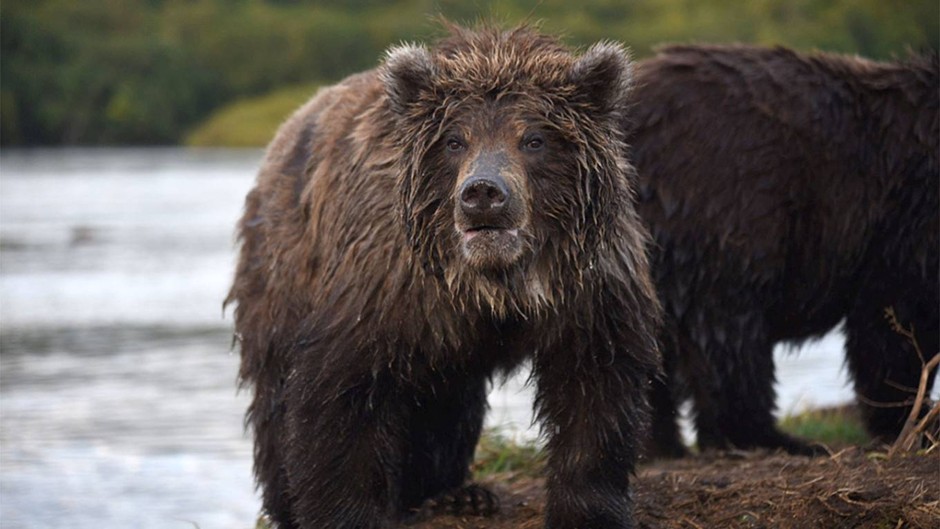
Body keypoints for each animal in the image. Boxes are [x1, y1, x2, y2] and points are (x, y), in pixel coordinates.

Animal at [226, 24, 660, 528]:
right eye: (455, 141)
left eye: (533, 139)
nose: (483, 193)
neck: (493, 283)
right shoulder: (385, 282)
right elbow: (340, 397)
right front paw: (346, 512)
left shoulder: (589, 286)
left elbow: (596, 392)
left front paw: (588, 510)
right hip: (284, 271)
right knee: (276, 391)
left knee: (447, 399)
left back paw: (455, 492)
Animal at [624, 44, 940, 458]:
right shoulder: (905, 217)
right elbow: (894, 321)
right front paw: (909, 420)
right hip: (723, 206)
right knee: (731, 335)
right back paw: (779, 438)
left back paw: (663, 442)